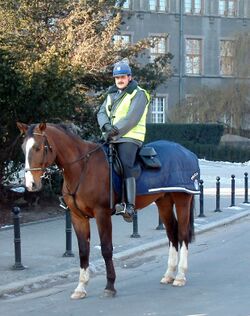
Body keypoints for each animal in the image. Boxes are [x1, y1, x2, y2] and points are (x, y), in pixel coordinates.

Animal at [16, 122, 200, 300]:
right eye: (23, 148)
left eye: (38, 147)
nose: (30, 184)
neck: (83, 167)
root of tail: (187, 152)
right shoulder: (78, 217)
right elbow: (83, 250)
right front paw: (81, 287)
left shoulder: (102, 214)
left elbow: (106, 249)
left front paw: (110, 286)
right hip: (164, 202)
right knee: (172, 234)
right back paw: (169, 274)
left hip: (182, 200)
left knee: (182, 234)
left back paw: (180, 276)